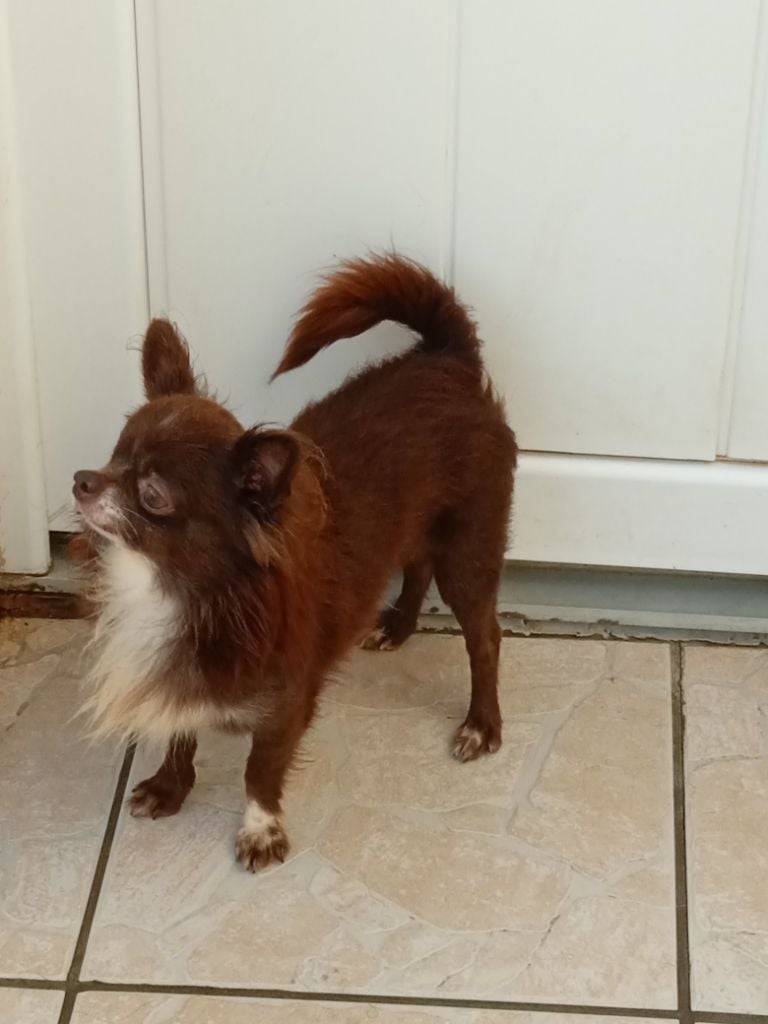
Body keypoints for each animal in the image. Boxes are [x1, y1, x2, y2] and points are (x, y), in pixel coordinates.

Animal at [72, 253, 517, 871]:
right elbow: (182, 732)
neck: (182, 586)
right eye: (114, 457)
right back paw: (398, 627)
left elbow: (259, 771)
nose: (80, 480)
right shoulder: (187, 677)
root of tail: (448, 358)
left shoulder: (285, 705)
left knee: (484, 638)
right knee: (415, 566)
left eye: (153, 494)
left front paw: (260, 832)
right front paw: (170, 786)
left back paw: (481, 725)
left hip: (468, 552)